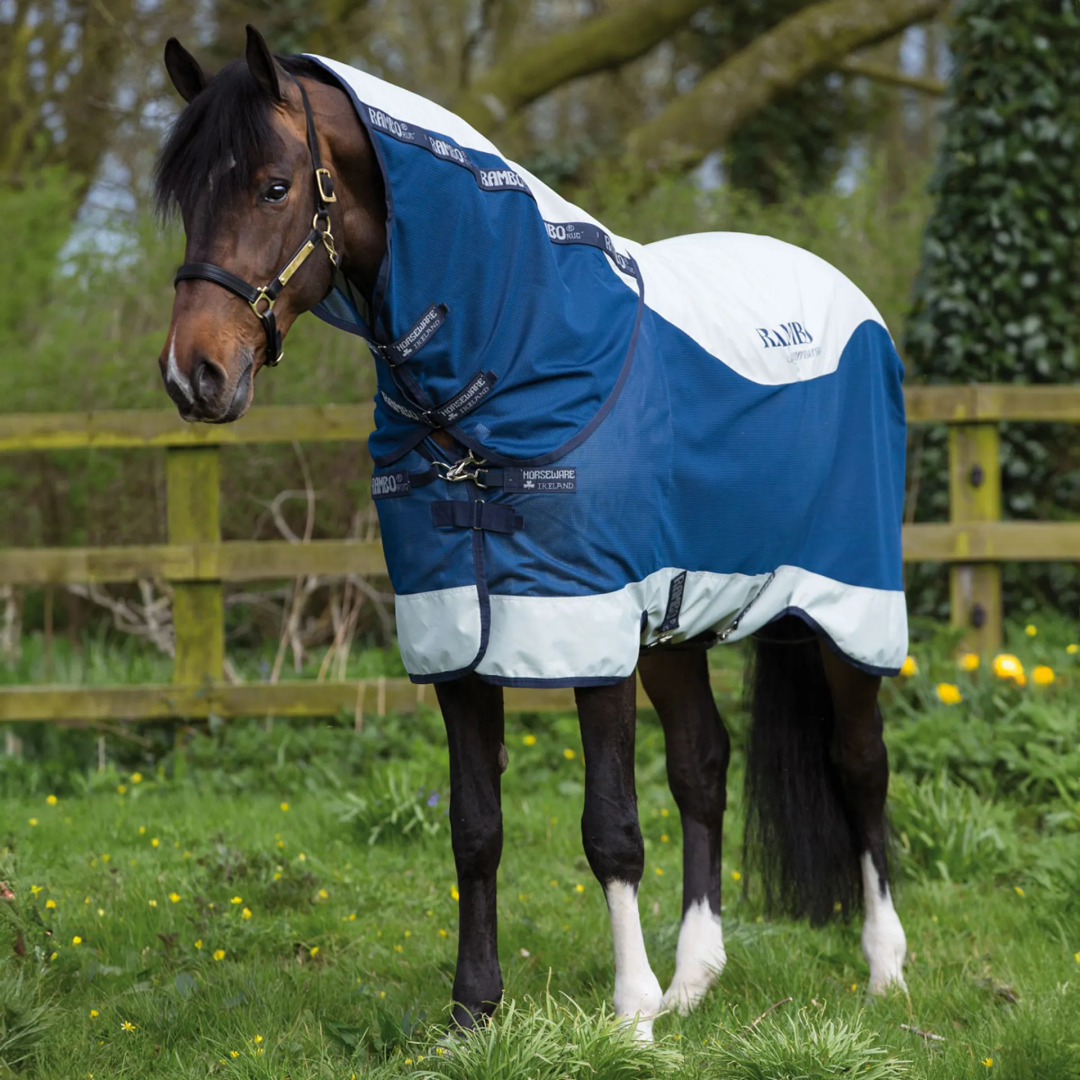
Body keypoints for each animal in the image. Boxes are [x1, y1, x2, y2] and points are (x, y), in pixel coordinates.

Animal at [154, 26, 908, 1038]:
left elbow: (611, 830)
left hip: (845, 604)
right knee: (703, 767)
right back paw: (695, 979)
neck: (506, 368)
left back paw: (883, 972)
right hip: (679, 621)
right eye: (187, 197)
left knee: (859, 765)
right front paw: (475, 1010)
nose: (193, 375)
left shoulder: (591, 626)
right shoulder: (455, 633)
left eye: (274, 187)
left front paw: (630, 1016)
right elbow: (476, 826)